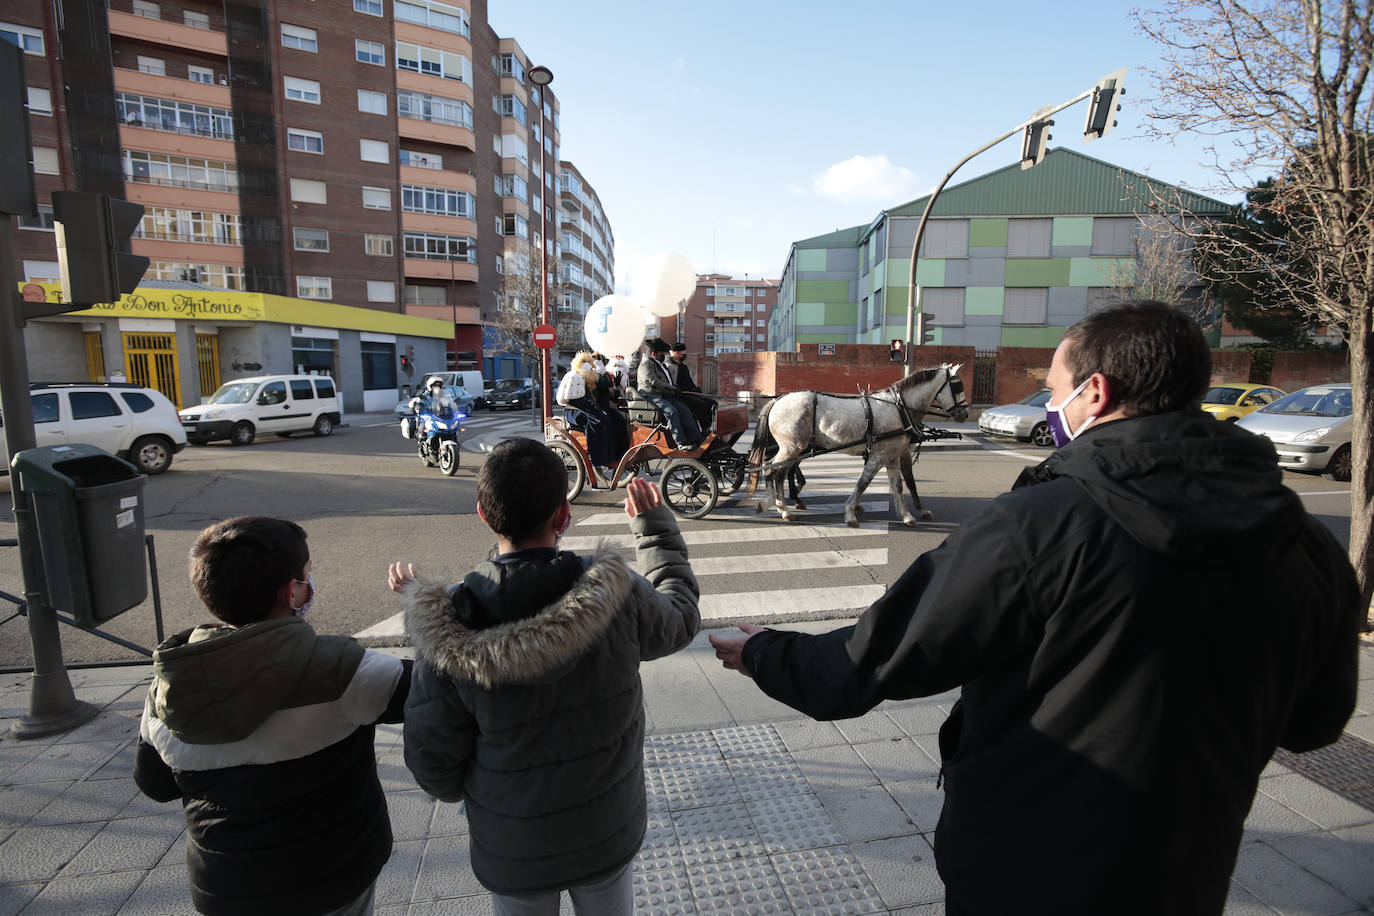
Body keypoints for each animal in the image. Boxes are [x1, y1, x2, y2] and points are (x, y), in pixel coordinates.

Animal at [752, 362, 967, 527]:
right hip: (792, 447)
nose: (964, 414)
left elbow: (899, 485)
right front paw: (850, 513)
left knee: (777, 471)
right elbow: (863, 483)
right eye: (958, 387)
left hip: (794, 448)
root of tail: (777, 401)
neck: (900, 408)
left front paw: (907, 515)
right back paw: (780, 507)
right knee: (772, 470)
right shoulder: (879, 455)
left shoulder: (893, 456)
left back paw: (779, 504)